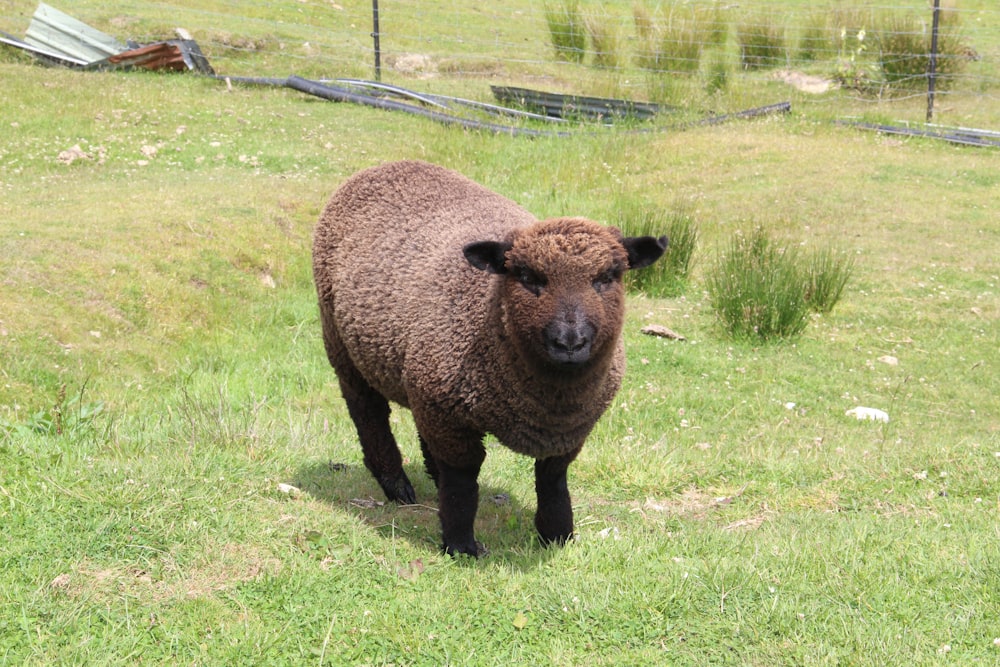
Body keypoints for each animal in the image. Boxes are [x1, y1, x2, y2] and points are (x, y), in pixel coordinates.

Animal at [316, 159, 668, 556]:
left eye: (608, 276)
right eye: (527, 276)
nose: (569, 342)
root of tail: (388, 164)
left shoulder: (569, 426)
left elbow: (553, 479)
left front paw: (558, 534)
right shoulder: (448, 409)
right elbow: (462, 479)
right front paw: (460, 544)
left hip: (421, 374)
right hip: (344, 347)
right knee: (368, 413)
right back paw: (396, 486)